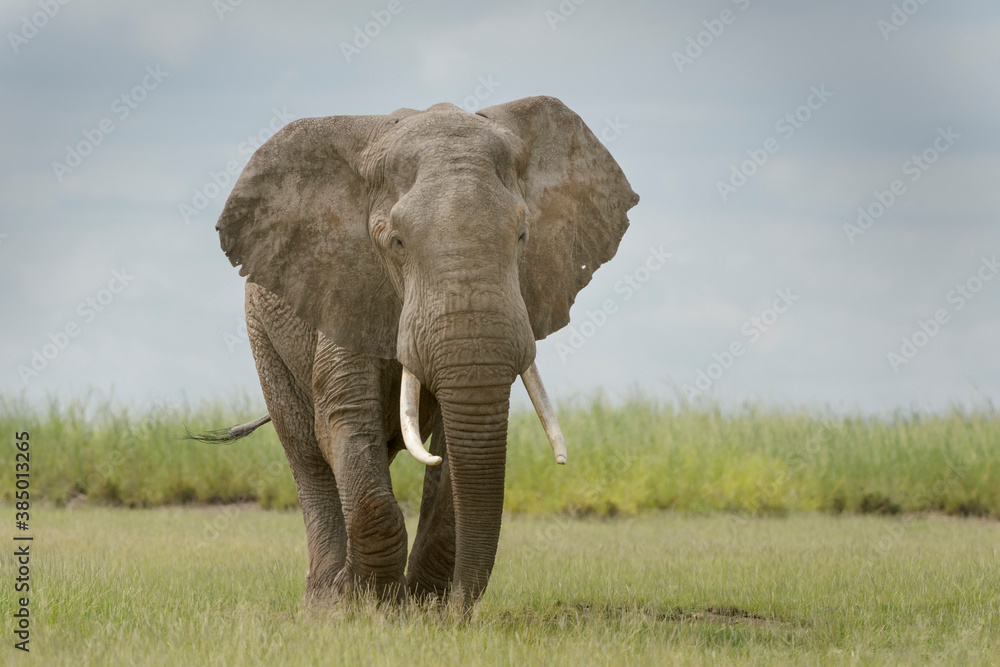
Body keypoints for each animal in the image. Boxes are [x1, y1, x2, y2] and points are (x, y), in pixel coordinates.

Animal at [206, 96, 638, 609]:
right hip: (264, 333)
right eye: (396, 242)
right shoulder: (342, 281)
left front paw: (420, 610)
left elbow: (459, 444)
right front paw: (359, 606)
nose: (456, 612)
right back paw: (322, 599)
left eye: (522, 237)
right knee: (305, 452)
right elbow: (345, 418)